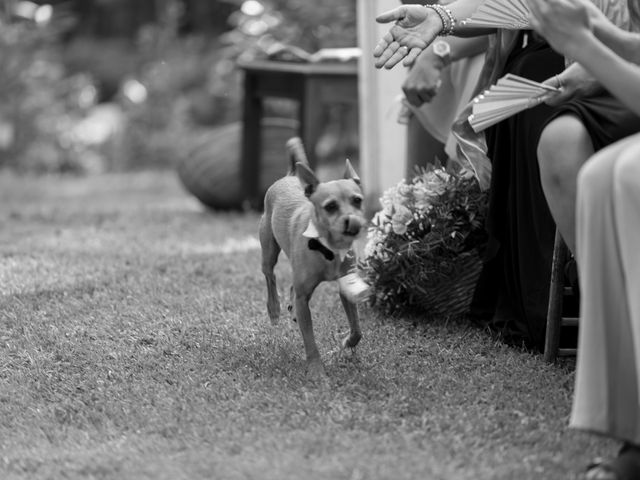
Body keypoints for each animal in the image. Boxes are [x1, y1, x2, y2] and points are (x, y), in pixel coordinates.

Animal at [258, 137, 370, 376]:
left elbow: (357, 329)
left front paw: (346, 343)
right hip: (269, 251)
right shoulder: (304, 299)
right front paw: (317, 372)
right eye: (331, 206)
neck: (327, 249)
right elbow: (310, 340)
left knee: (289, 285)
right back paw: (274, 309)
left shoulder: (346, 288)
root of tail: (291, 175)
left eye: (357, 200)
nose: (353, 222)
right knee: (270, 277)